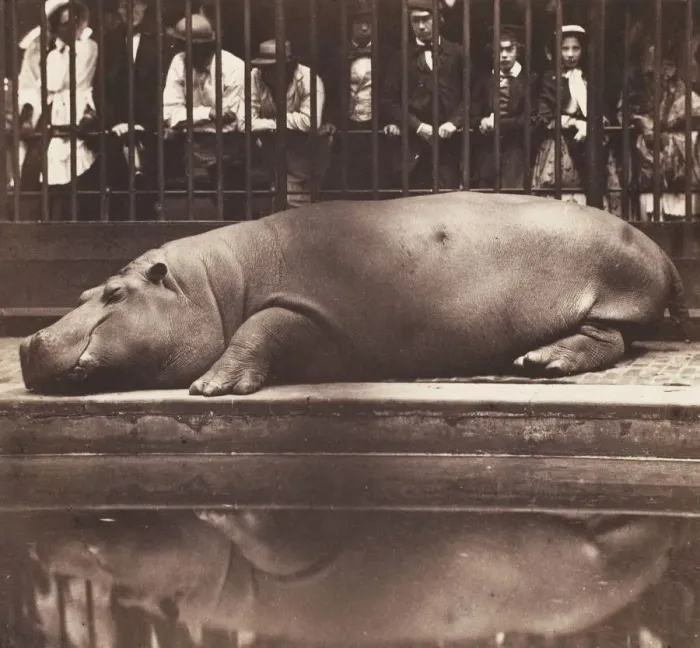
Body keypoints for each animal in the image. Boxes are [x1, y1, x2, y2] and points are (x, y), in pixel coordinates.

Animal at [19, 192, 689, 395]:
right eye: (84, 287)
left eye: (113, 293)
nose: (27, 341)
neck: (212, 286)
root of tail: (662, 251)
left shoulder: (300, 306)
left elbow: (257, 329)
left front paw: (210, 386)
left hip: (609, 295)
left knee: (610, 339)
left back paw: (540, 362)